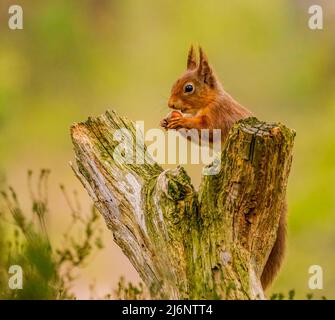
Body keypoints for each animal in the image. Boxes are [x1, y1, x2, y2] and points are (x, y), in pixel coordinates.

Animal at [161, 45, 288, 290]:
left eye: (188, 88)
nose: (171, 104)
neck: (209, 100)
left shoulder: (218, 116)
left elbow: (206, 129)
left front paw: (181, 120)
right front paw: (169, 120)